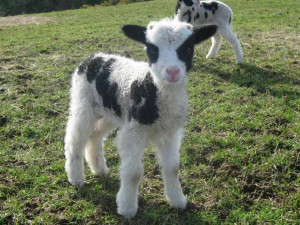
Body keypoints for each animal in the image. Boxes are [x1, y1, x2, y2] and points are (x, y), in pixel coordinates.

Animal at [64, 18, 217, 219]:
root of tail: (94, 57)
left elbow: (173, 167)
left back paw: (99, 169)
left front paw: (178, 201)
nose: (173, 71)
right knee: (75, 139)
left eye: (188, 47)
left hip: (109, 112)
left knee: (95, 137)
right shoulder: (134, 132)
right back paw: (76, 178)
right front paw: (127, 208)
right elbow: (134, 173)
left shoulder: (170, 133)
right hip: (83, 104)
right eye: (151, 49)